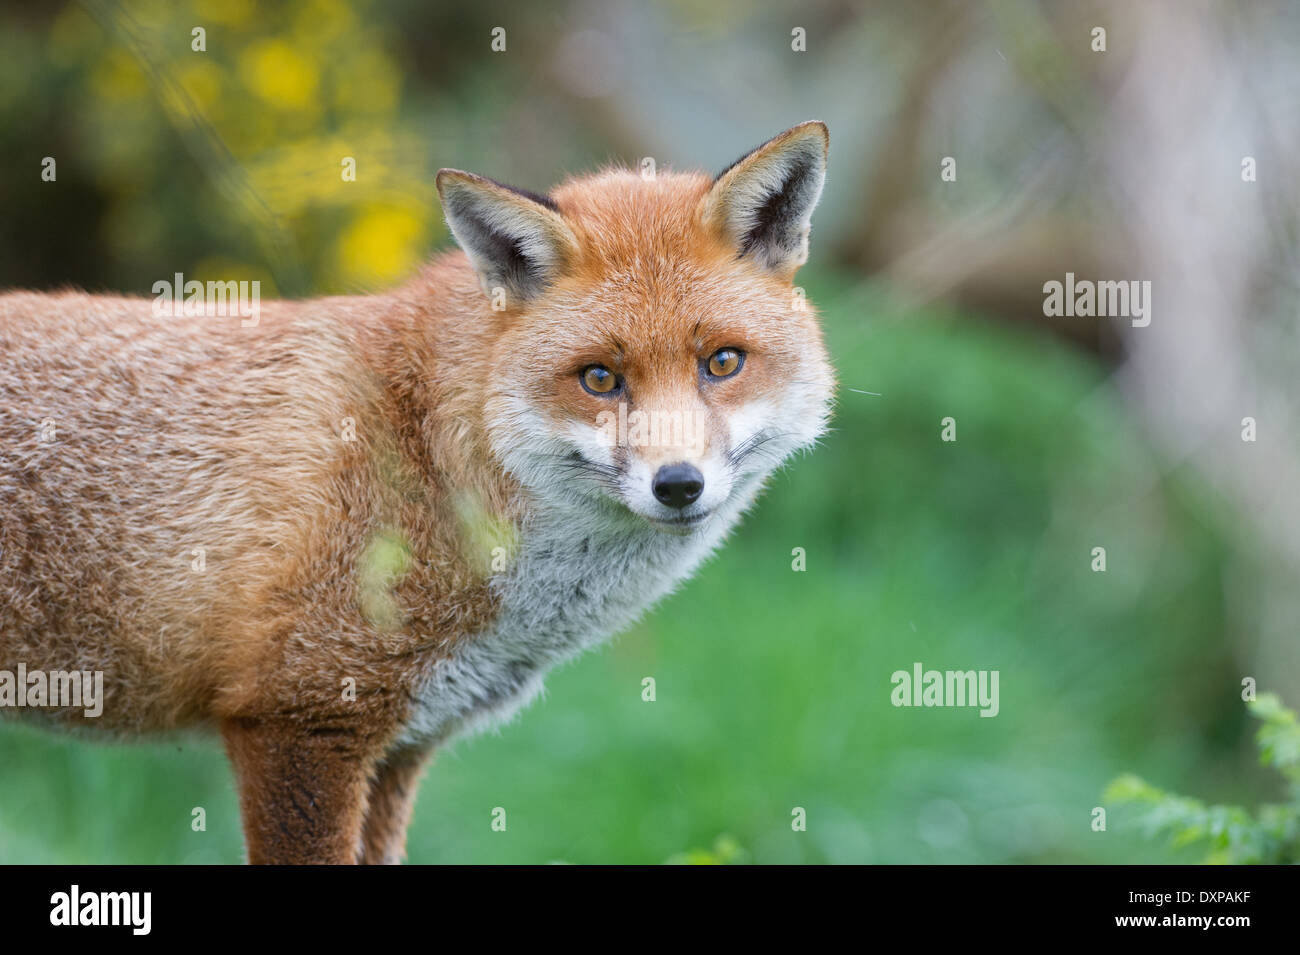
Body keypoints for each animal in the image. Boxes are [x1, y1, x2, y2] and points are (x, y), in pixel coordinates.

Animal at [0, 120, 835, 864]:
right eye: (600, 377)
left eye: (722, 362)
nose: (678, 484)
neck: (428, 457)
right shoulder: (299, 718)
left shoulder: (402, 742)